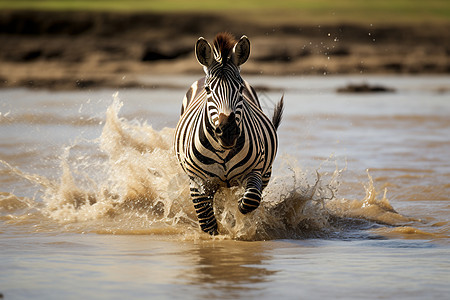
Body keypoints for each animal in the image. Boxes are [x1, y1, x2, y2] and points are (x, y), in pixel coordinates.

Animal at [174, 32, 284, 234]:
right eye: (208, 90)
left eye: (240, 89)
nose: (227, 131)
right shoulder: (198, 182)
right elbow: (207, 222)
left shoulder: (254, 171)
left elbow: (250, 200)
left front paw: (238, 209)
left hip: (265, 173)